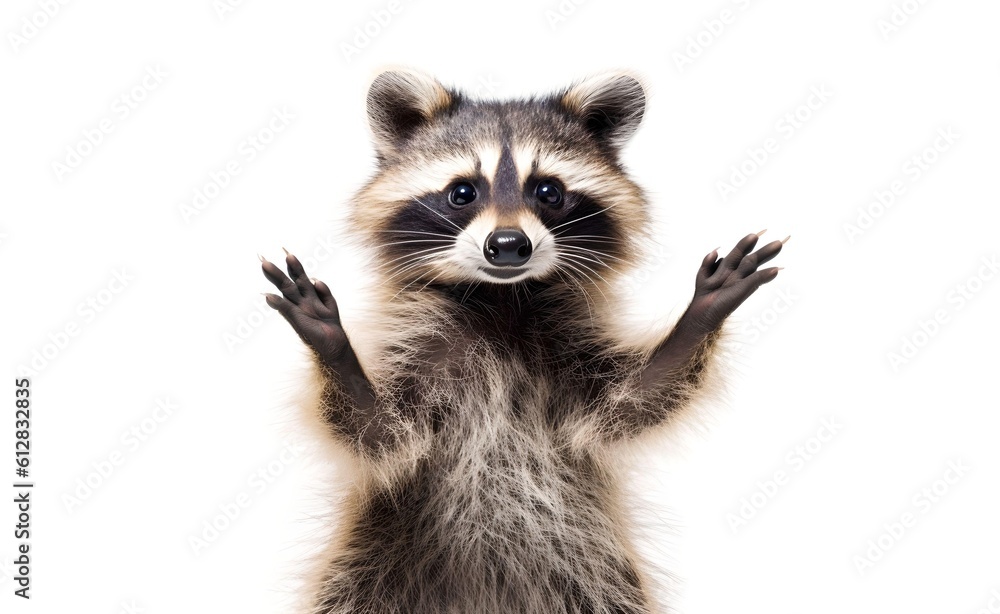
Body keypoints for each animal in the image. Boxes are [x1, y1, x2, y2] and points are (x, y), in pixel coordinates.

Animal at [260, 69, 785, 613]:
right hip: (371, 562)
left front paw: (698, 318)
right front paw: (333, 348)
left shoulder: (569, 350)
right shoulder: (424, 352)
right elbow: (379, 431)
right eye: (462, 193)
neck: (501, 299)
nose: (509, 245)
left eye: (548, 191)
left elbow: (633, 400)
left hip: (594, 576)